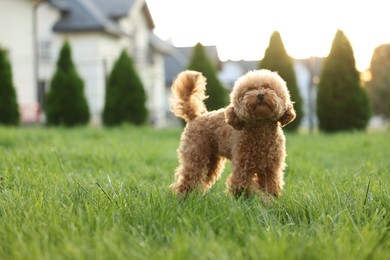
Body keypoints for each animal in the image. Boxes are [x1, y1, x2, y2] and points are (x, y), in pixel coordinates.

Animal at [169, 69, 294, 199]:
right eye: (249, 90)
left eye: (269, 88)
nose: (260, 95)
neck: (261, 128)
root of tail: (195, 117)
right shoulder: (243, 168)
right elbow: (246, 188)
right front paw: (260, 200)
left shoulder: (270, 169)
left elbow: (270, 187)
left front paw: (270, 199)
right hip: (196, 154)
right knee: (189, 177)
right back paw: (184, 198)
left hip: (211, 160)